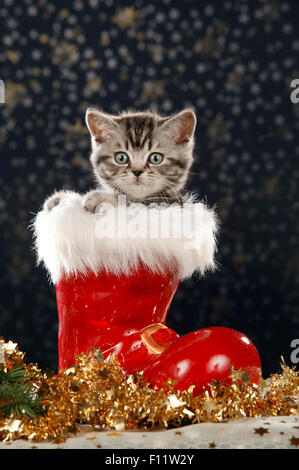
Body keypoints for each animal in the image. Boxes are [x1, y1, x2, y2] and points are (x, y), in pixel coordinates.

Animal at [44, 106, 197, 211]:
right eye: (121, 158)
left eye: (155, 158)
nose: (137, 171)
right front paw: (59, 200)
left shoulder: (173, 203)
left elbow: (130, 201)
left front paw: (97, 197)